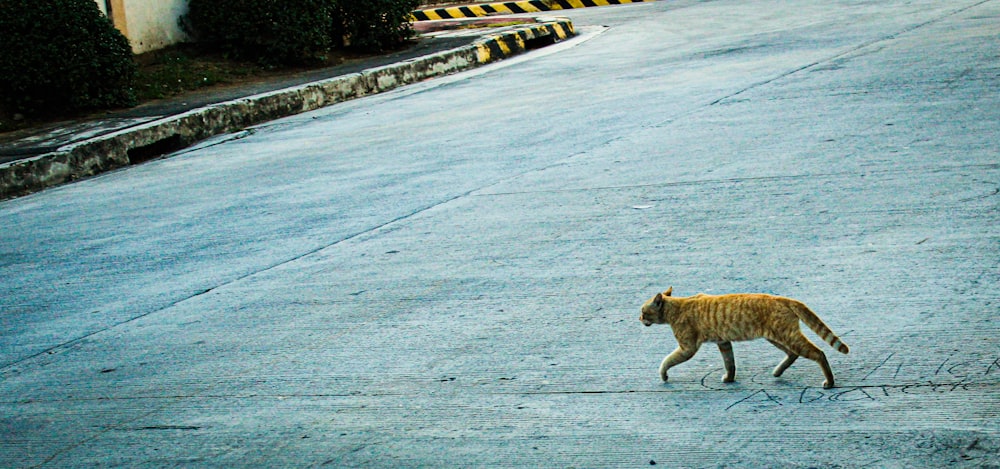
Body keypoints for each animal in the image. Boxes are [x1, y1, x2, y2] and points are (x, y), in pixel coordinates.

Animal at [644, 286, 848, 388]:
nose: (639, 318)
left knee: (818, 353)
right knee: (793, 354)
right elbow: (730, 363)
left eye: (643, 312)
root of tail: (783, 298)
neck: (676, 308)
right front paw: (730, 378)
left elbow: (667, 361)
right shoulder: (724, 342)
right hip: (777, 337)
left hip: (787, 336)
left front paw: (663, 375)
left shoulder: (688, 348)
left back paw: (830, 382)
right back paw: (778, 372)